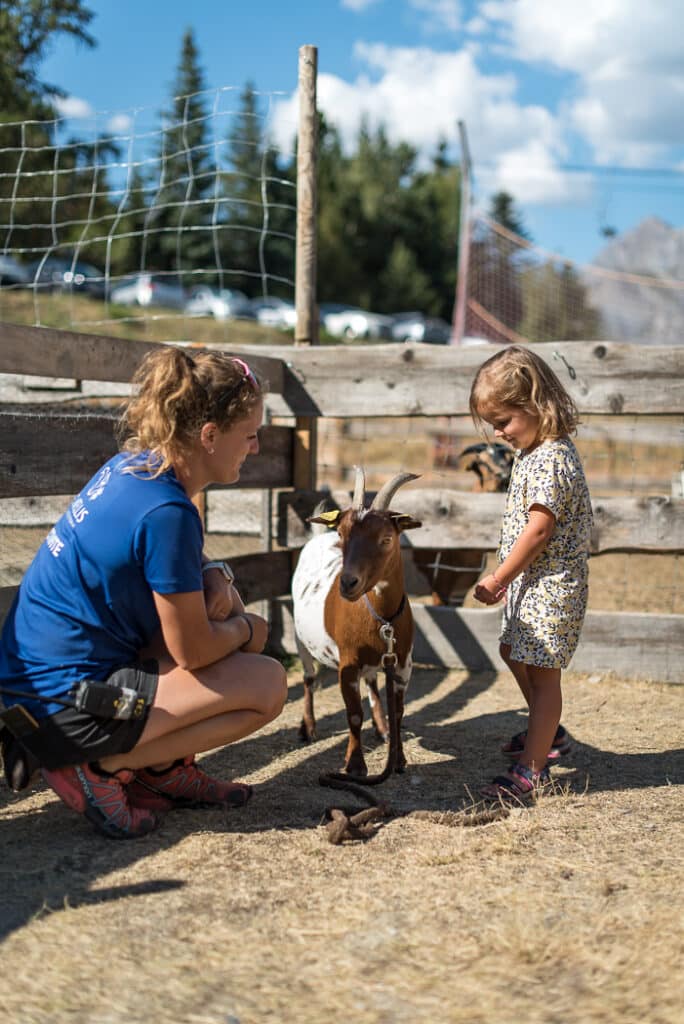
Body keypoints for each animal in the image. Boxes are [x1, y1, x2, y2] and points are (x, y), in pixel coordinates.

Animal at [292, 471, 421, 774]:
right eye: (342, 534)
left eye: (386, 539)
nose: (348, 583)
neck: (382, 619)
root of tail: (318, 536)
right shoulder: (347, 663)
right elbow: (353, 714)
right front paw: (354, 764)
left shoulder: (403, 663)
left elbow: (399, 713)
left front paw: (398, 759)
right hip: (300, 638)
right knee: (308, 678)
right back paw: (308, 728)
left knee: (372, 683)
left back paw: (382, 727)